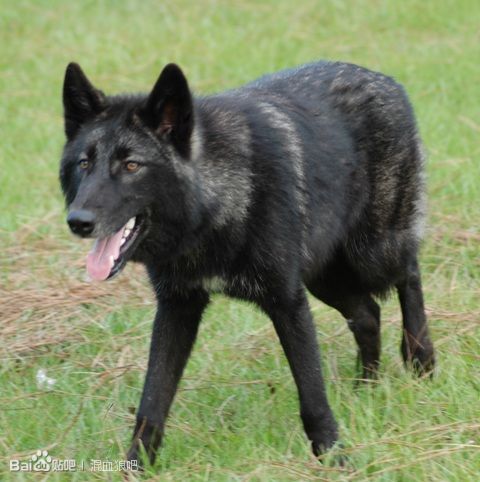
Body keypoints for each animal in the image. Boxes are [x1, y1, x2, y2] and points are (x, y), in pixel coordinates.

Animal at [59, 59, 436, 464]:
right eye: (85, 163)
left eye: (131, 165)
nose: (78, 221)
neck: (216, 206)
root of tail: (383, 79)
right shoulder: (177, 308)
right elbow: (152, 403)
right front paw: (136, 465)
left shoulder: (288, 303)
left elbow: (312, 396)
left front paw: (333, 457)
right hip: (324, 277)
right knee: (368, 313)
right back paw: (365, 388)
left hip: (374, 253)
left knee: (409, 273)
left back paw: (421, 359)